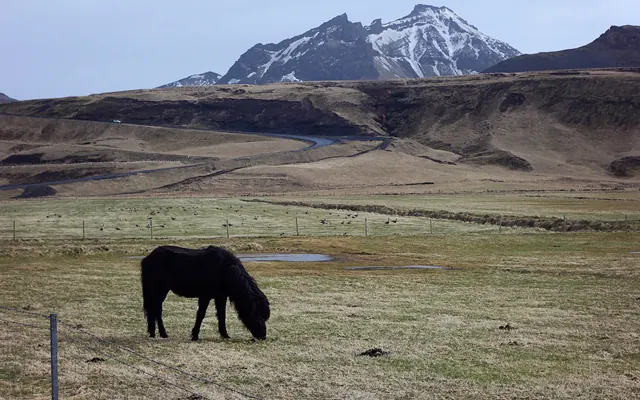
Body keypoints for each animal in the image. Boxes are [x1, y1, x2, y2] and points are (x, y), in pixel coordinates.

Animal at [140, 245, 270, 341]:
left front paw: (225, 335)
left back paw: (153, 333)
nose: (263, 336)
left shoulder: (221, 297)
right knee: (156, 310)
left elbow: (222, 315)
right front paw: (195, 336)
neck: (226, 270)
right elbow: (201, 314)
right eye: (257, 314)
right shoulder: (205, 296)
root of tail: (148, 258)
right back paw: (163, 333)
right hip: (159, 290)